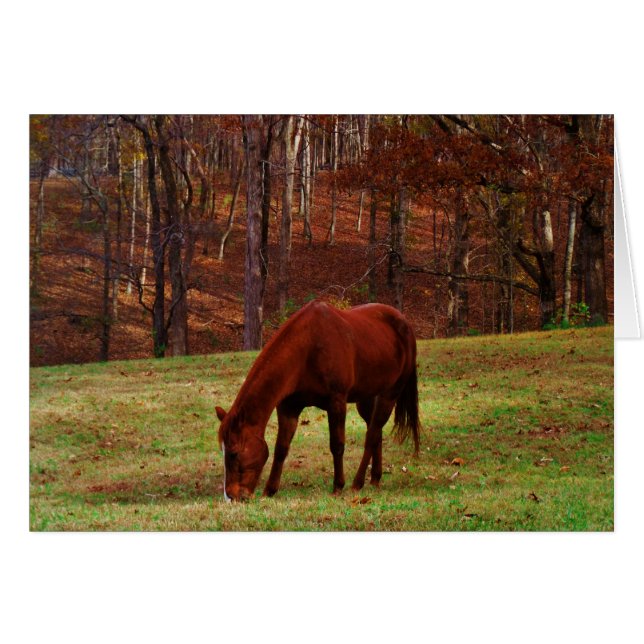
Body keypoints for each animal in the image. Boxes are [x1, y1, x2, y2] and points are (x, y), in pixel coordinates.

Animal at [216, 300, 421, 501]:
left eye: (233, 453)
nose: (230, 497)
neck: (307, 349)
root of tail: (404, 323)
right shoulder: (289, 407)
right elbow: (281, 447)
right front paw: (270, 490)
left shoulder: (336, 403)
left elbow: (337, 445)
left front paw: (338, 486)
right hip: (366, 398)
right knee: (376, 431)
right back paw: (375, 478)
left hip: (389, 394)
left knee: (371, 435)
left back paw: (357, 482)